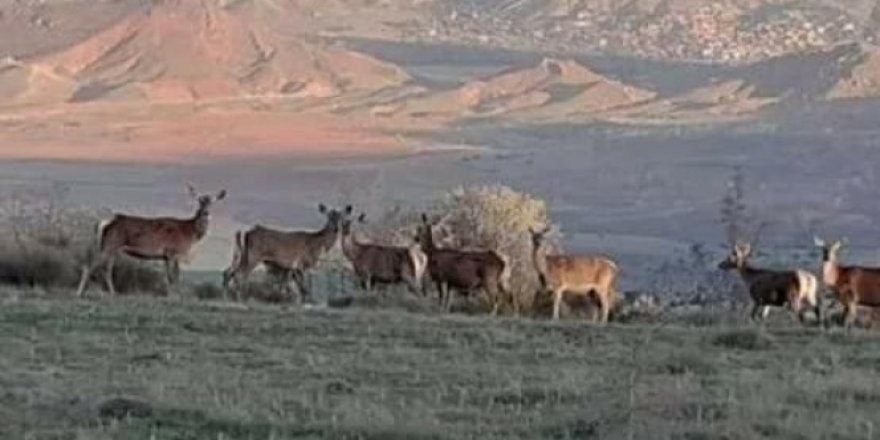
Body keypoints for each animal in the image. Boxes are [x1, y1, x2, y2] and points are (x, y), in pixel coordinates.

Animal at [76, 184, 227, 298]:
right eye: (199, 202)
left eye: (212, 202)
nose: (206, 213)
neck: (189, 233)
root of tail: (105, 222)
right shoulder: (172, 251)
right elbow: (172, 277)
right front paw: (173, 297)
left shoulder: (168, 256)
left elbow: (173, 277)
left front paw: (174, 295)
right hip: (110, 244)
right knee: (91, 265)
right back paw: (82, 292)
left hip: (108, 246)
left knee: (105, 269)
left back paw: (109, 293)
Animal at [222, 204, 352, 302]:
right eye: (329, 217)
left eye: (341, 217)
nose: (336, 228)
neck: (317, 244)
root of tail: (245, 232)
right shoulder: (301, 263)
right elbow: (303, 287)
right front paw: (305, 302)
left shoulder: (293, 267)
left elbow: (298, 287)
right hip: (254, 255)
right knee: (239, 274)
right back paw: (241, 298)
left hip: (244, 254)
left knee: (229, 271)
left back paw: (230, 296)